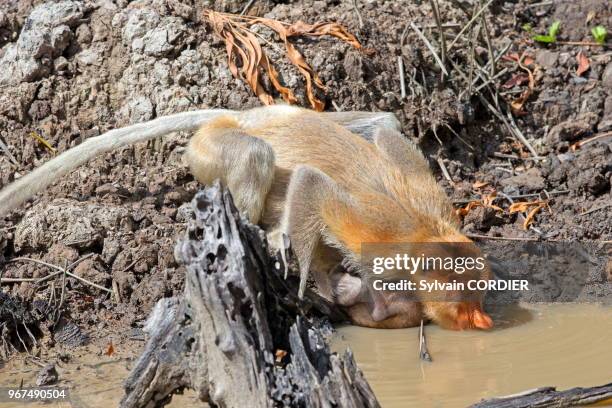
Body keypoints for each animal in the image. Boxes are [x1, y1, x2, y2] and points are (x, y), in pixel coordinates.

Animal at [0, 105, 490, 332]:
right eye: (465, 300)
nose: (480, 318)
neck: (428, 234)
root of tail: (240, 115)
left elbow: (387, 133)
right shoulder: (377, 235)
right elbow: (312, 185)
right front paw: (311, 282)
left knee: (382, 123)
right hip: (212, 149)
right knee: (256, 154)